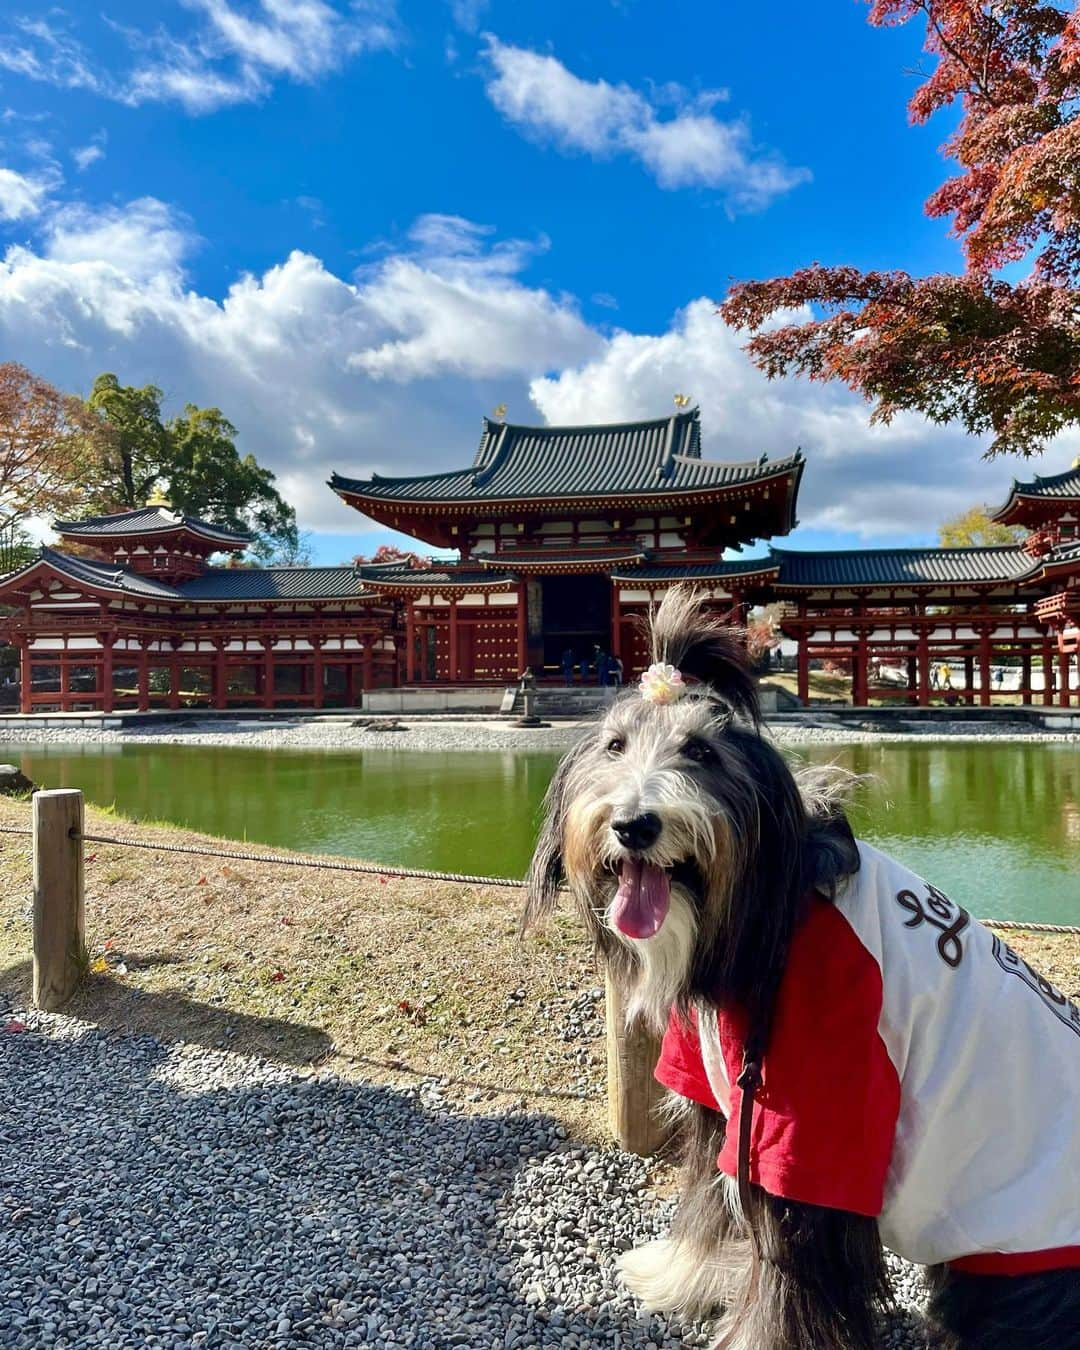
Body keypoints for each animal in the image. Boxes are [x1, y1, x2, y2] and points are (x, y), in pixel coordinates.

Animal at [523, 588, 1080, 1350]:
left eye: (701, 751)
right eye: (614, 746)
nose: (635, 824)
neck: (765, 917)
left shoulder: (814, 1114)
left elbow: (789, 1283)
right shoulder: (720, 1097)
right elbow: (705, 1206)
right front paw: (679, 1276)